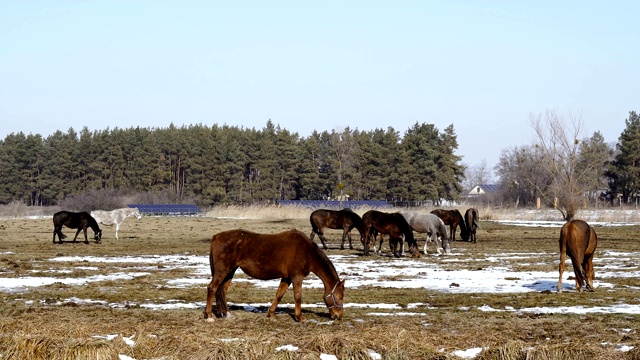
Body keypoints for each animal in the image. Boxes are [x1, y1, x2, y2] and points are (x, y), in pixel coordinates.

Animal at [205, 229, 344, 322]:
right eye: (341, 297)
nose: (339, 316)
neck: (306, 251)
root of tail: (217, 236)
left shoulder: (287, 278)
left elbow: (279, 294)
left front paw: (271, 313)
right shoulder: (296, 277)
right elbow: (298, 296)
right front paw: (299, 317)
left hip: (230, 272)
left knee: (222, 290)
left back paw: (226, 313)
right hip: (222, 271)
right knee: (212, 288)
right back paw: (209, 315)